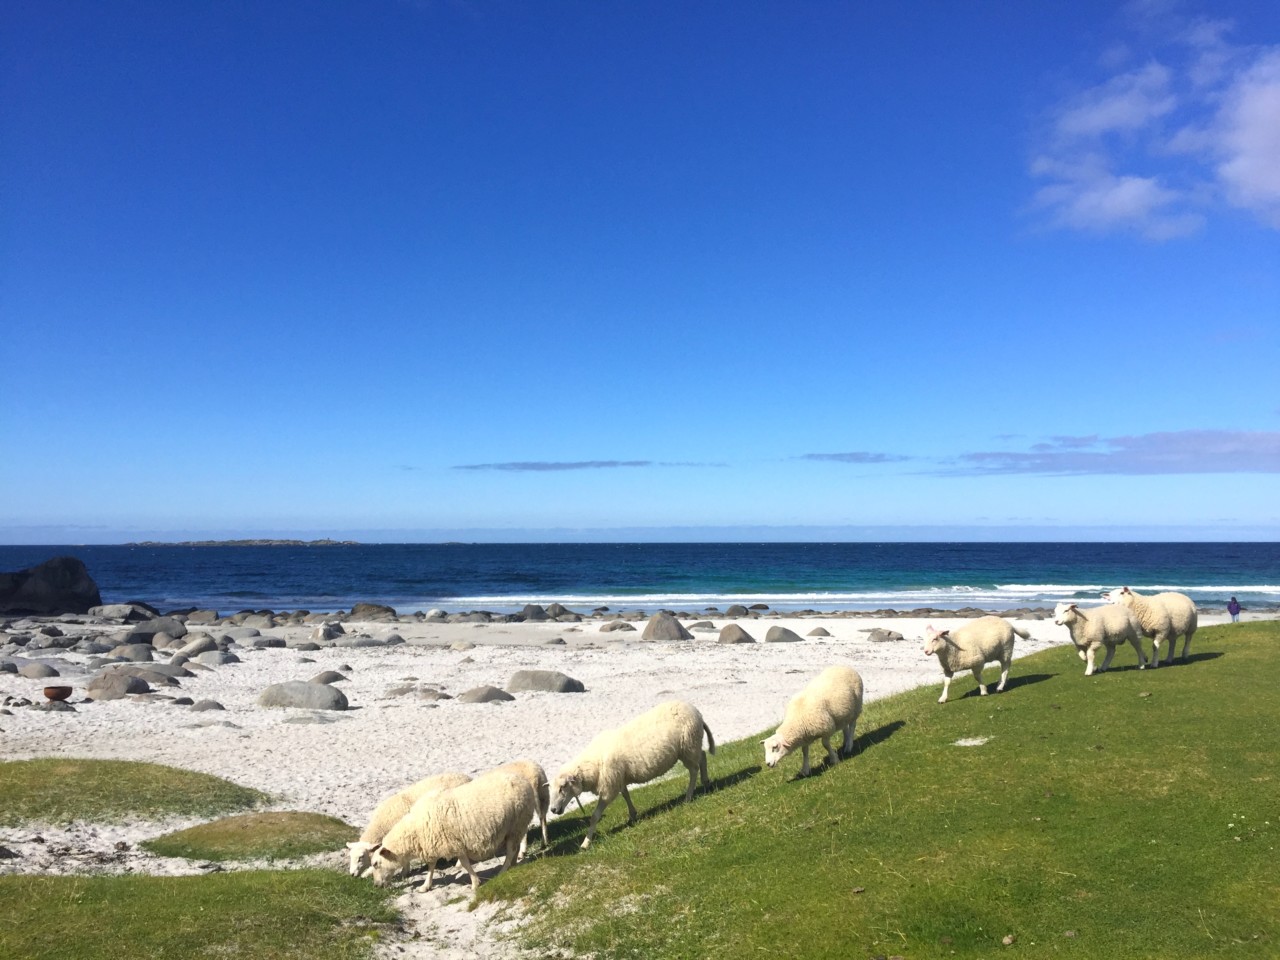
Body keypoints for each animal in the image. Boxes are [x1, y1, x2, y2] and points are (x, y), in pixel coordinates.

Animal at [368, 773, 537, 901]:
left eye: (376, 864)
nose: (375, 886)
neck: (414, 831)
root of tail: (523, 780)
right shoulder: (435, 844)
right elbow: (431, 867)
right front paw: (425, 886)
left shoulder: (454, 844)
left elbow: (465, 864)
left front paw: (475, 883)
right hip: (514, 829)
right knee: (514, 849)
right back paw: (512, 866)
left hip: (517, 824)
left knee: (510, 851)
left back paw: (503, 870)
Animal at [545, 701, 716, 849]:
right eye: (550, 790)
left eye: (562, 787)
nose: (553, 810)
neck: (592, 763)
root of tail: (696, 711)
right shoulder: (618, 778)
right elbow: (626, 794)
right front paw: (633, 815)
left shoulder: (609, 788)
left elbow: (595, 816)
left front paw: (586, 843)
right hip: (690, 746)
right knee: (702, 757)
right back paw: (706, 783)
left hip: (688, 744)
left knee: (694, 769)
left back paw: (689, 795)